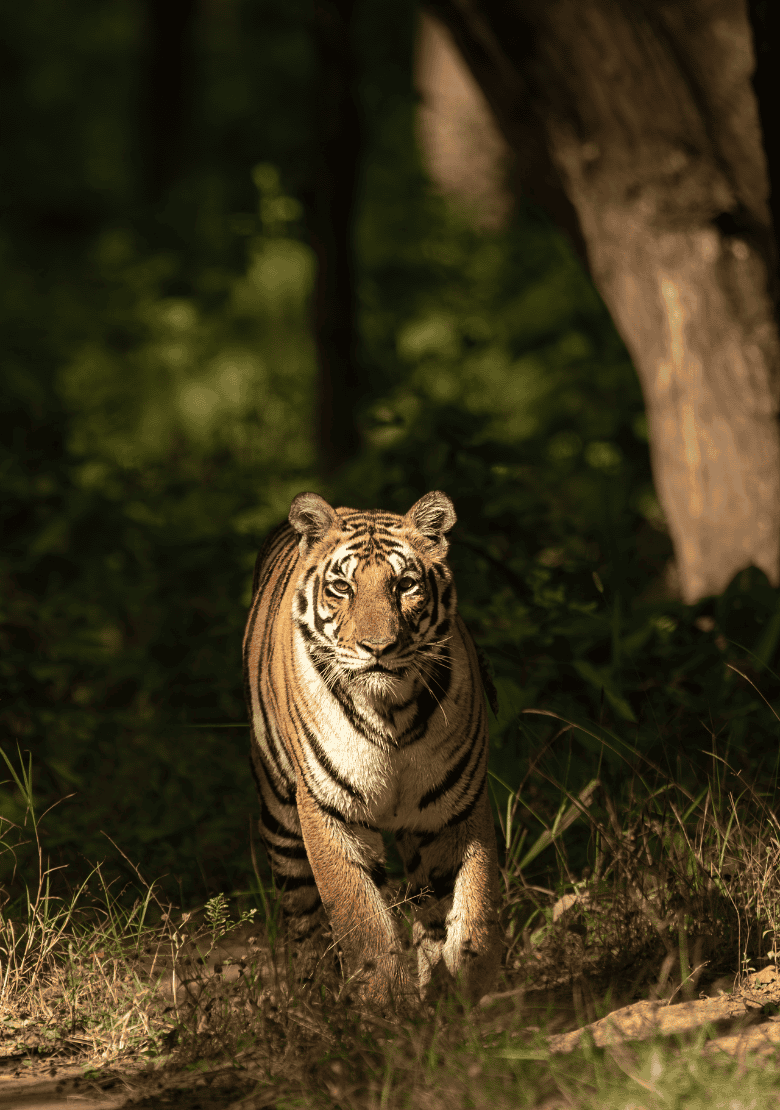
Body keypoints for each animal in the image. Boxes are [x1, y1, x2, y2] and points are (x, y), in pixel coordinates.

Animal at [242, 490, 501, 1006]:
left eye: (405, 585)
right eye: (342, 587)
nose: (377, 647)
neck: (391, 713)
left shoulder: (457, 808)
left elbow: (472, 909)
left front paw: (469, 997)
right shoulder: (329, 810)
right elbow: (362, 920)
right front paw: (385, 1005)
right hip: (280, 817)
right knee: (303, 917)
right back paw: (315, 1000)